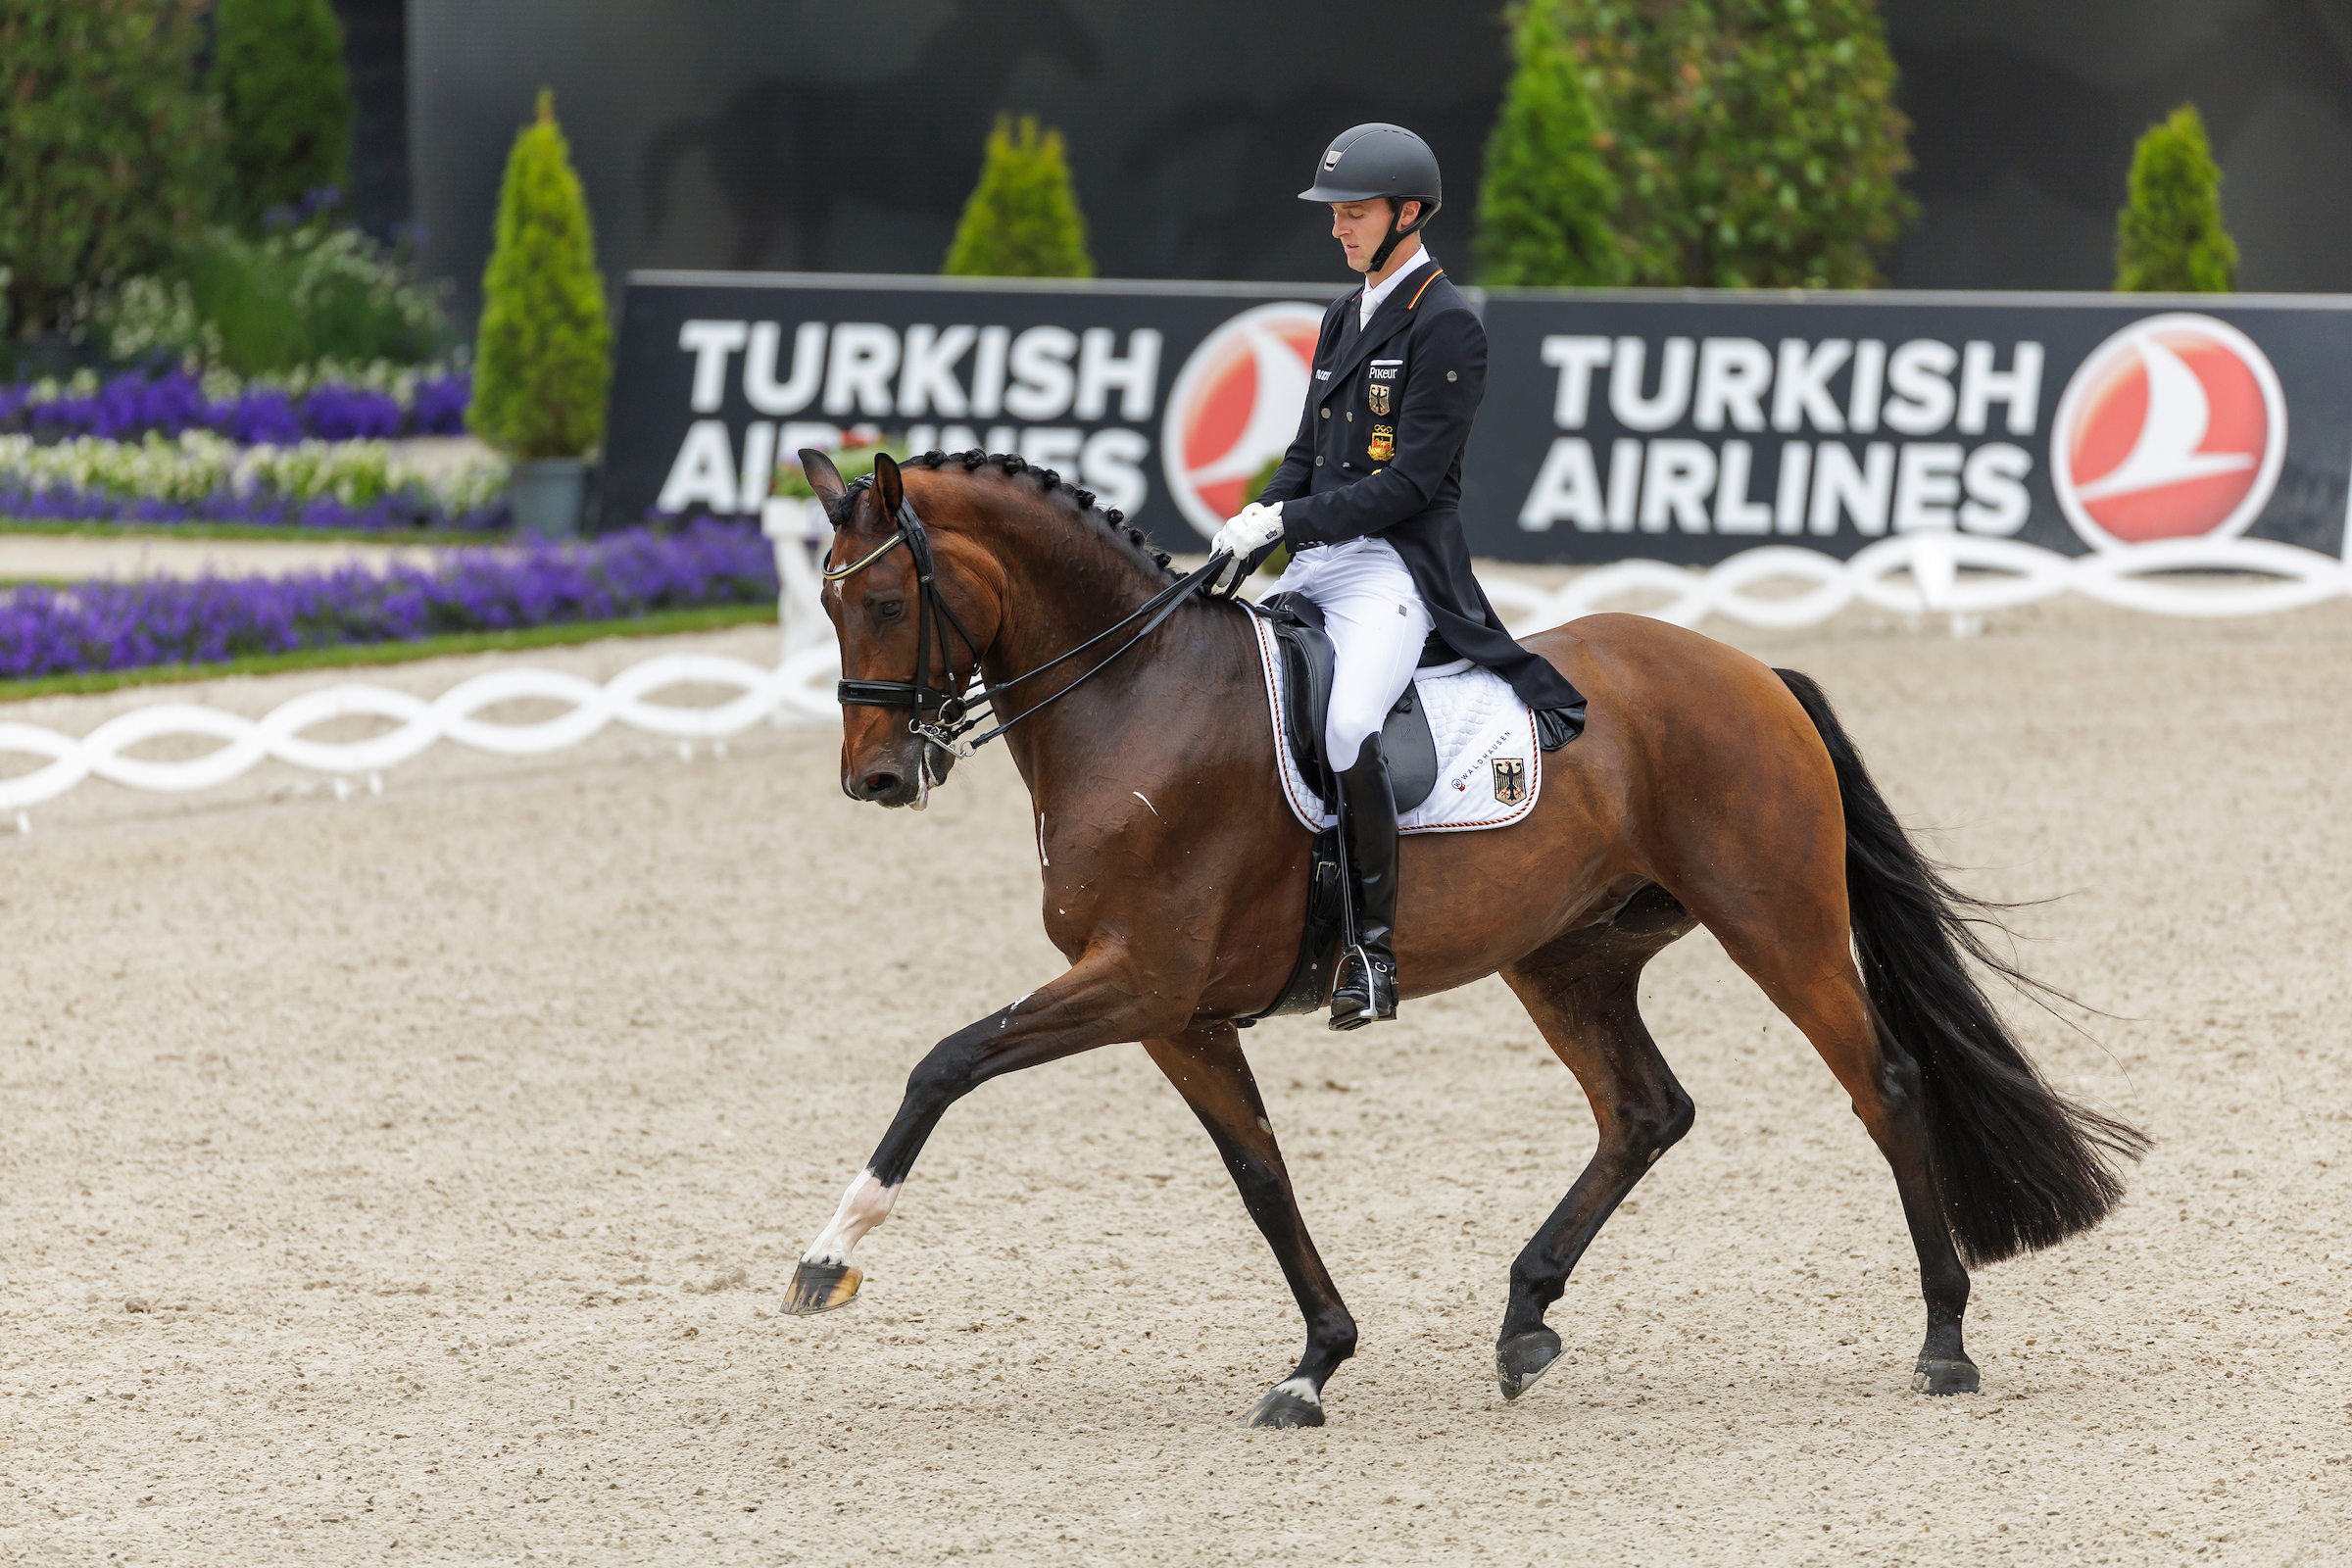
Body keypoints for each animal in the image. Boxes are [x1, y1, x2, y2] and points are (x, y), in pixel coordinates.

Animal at [785, 446, 2154, 1429]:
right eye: (825, 605)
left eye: (891, 598)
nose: (874, 780)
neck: (1136, 696)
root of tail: (1750, 670)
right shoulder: (1175, 1014)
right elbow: (1261, 1177)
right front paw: (1316, 1363)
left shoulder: (1135, 981)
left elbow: (945, 1063)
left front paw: (827, 1257)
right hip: (1564, 955)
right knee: (1645, 1111)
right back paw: (1524, 1319)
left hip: (1778, 922)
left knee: (1885, 1082)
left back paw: (1943, 1342)